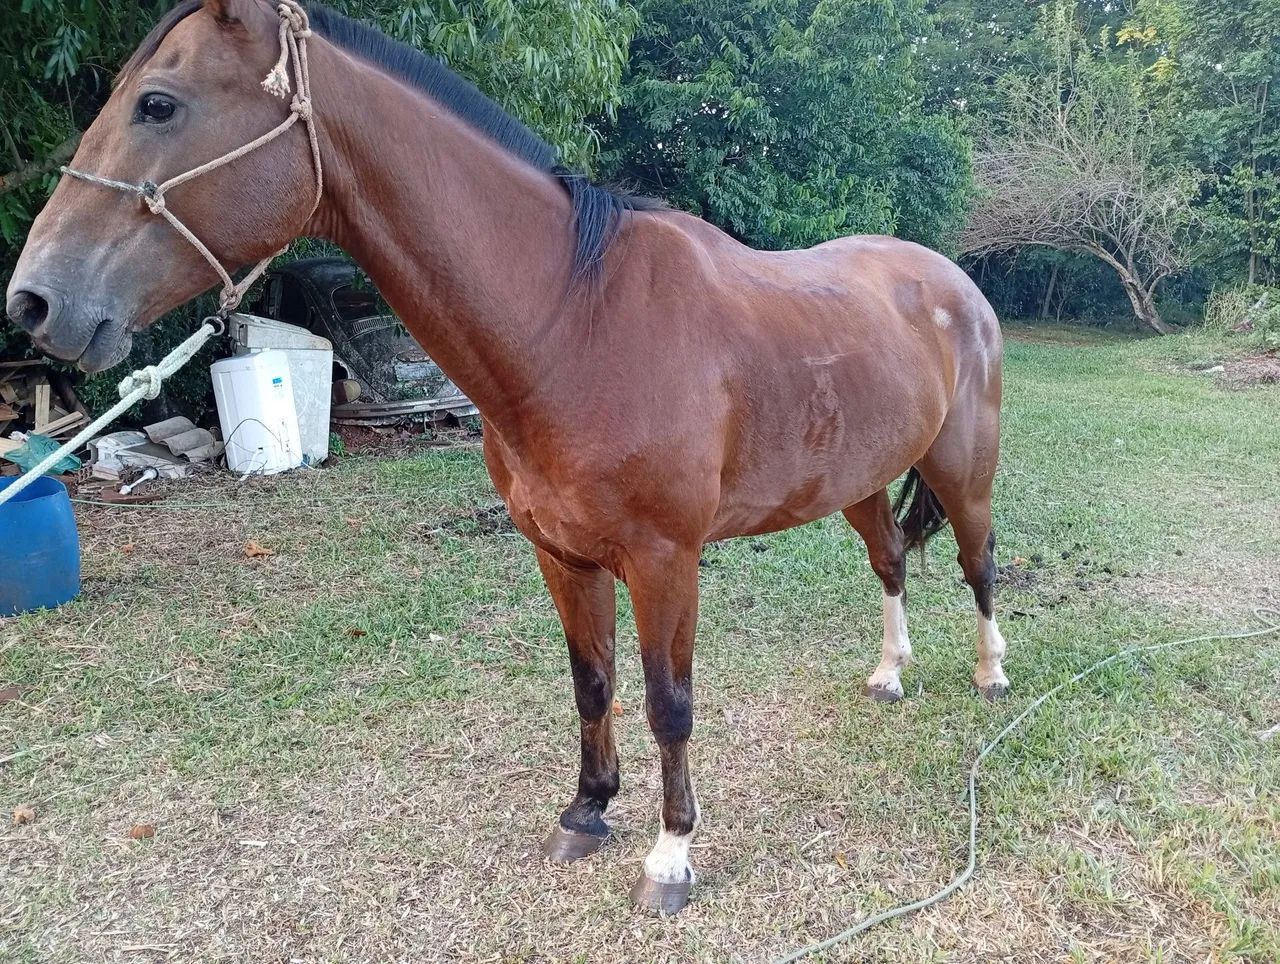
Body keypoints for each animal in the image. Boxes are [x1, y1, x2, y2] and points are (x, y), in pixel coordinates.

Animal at [6, 0, 1008, 913]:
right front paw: (587, 812)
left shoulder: (665, 560)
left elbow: (668, 701)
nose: (34, 302)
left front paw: (670, 859)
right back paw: (889, 673)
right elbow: (592, 684)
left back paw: (991, 673)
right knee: (890, 561)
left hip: (965, 473)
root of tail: (949, 278)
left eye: (158, 105)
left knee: (978, 564)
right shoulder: (562, 555)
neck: (576, 322)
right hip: (860, 481)